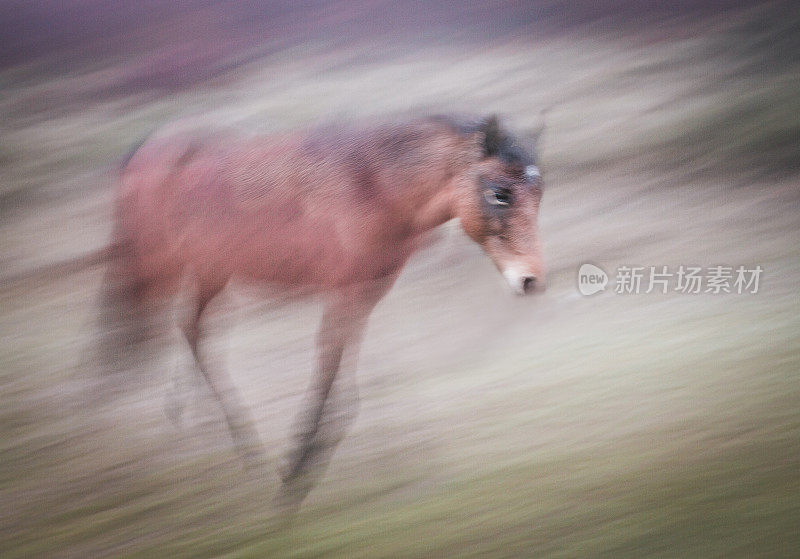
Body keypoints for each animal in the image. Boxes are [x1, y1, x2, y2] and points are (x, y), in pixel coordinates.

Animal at [100, 115, 544, 512]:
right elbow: (329, 380)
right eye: (500, 193)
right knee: (144, 341)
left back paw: (200, 432)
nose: (531, 280)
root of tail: (145, 150)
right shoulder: (343, 294)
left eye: (538, 195)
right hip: (158, 268)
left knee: (186, 333)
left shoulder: (365, 294)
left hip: (208, 273)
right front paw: (293, 478)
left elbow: (347, 392)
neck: (374, 186)